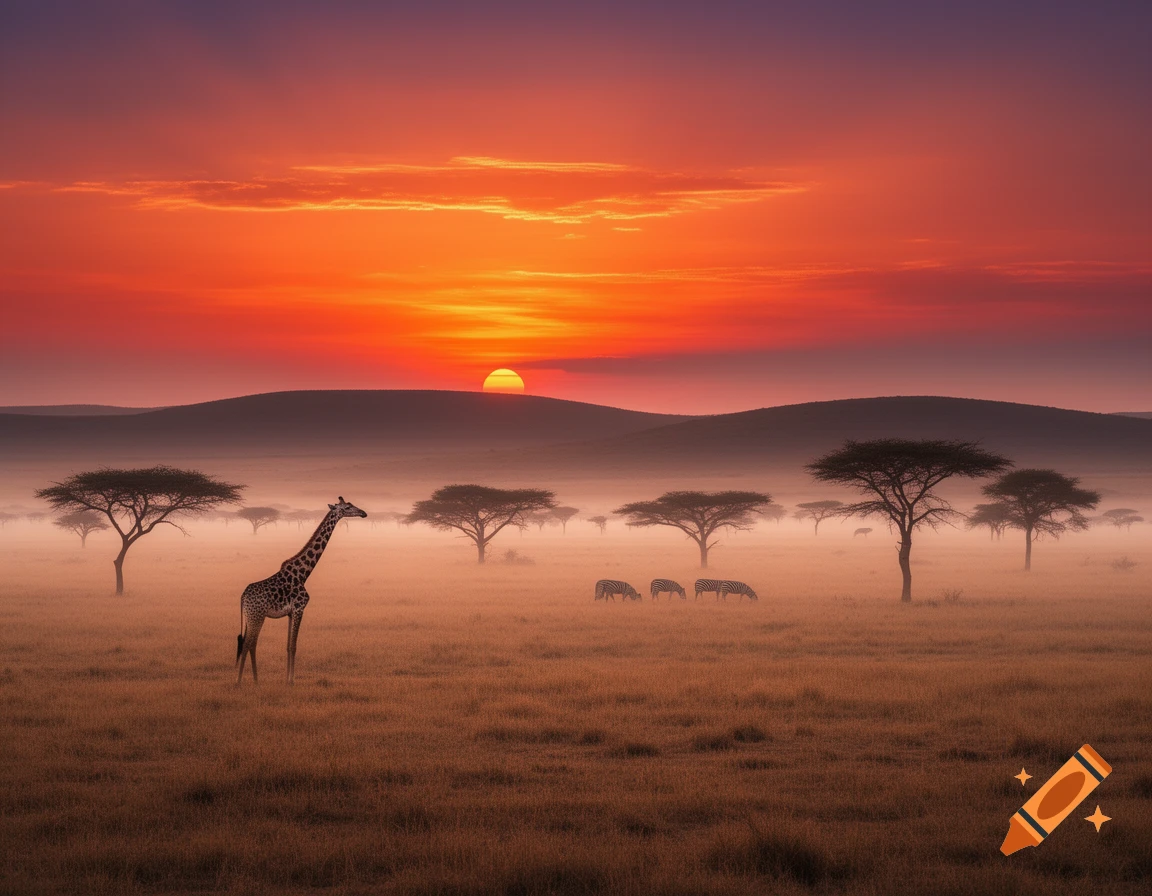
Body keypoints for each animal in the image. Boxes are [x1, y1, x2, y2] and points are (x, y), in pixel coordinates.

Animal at [236, 497, 367, 685]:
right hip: (256, 616)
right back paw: (239, 682)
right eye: (347, 507)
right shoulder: (299, 609)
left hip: (251, 617)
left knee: (250, 643)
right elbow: (293, 646)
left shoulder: (291, 613)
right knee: (247, 643)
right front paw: (291, 681)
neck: (303, 573)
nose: (364, 513)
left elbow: (287, 646)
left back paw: (256, 680)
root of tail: (243, 597)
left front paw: (286, 679)